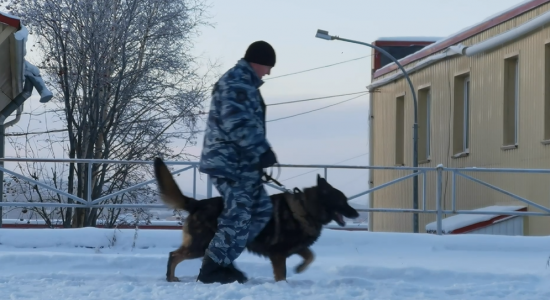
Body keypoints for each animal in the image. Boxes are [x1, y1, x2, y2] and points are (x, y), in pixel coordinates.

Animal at [154, 158, 362, 282]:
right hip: (201, 244)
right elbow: (282, 274)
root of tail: (197, 203)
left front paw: (300, 268)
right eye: (343, 201)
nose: (357, 214)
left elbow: (311, 256)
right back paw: (172, 278)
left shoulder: (297, 247)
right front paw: (283, 285)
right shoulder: (278, 254)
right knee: (174, 255)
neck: (306, 208)